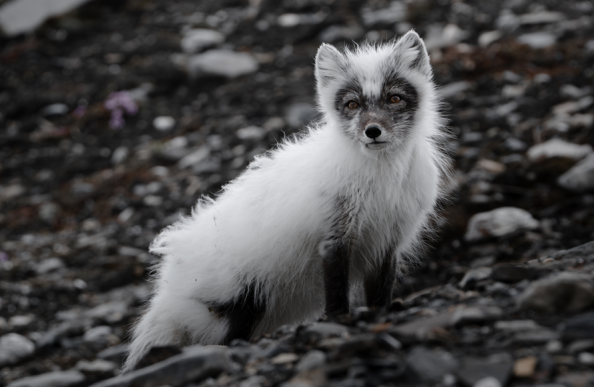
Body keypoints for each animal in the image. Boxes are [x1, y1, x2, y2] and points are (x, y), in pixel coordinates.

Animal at [125, 31, 448, 372]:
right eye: (353, 104)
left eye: (394, 98)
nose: (372, 131)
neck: (382, 183)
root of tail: (169, 283)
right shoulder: (334, 238)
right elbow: (337, 294)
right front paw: (340, 322)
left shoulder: (387, 242)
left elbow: (380, 295)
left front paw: (381, 315)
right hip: (243, 304)